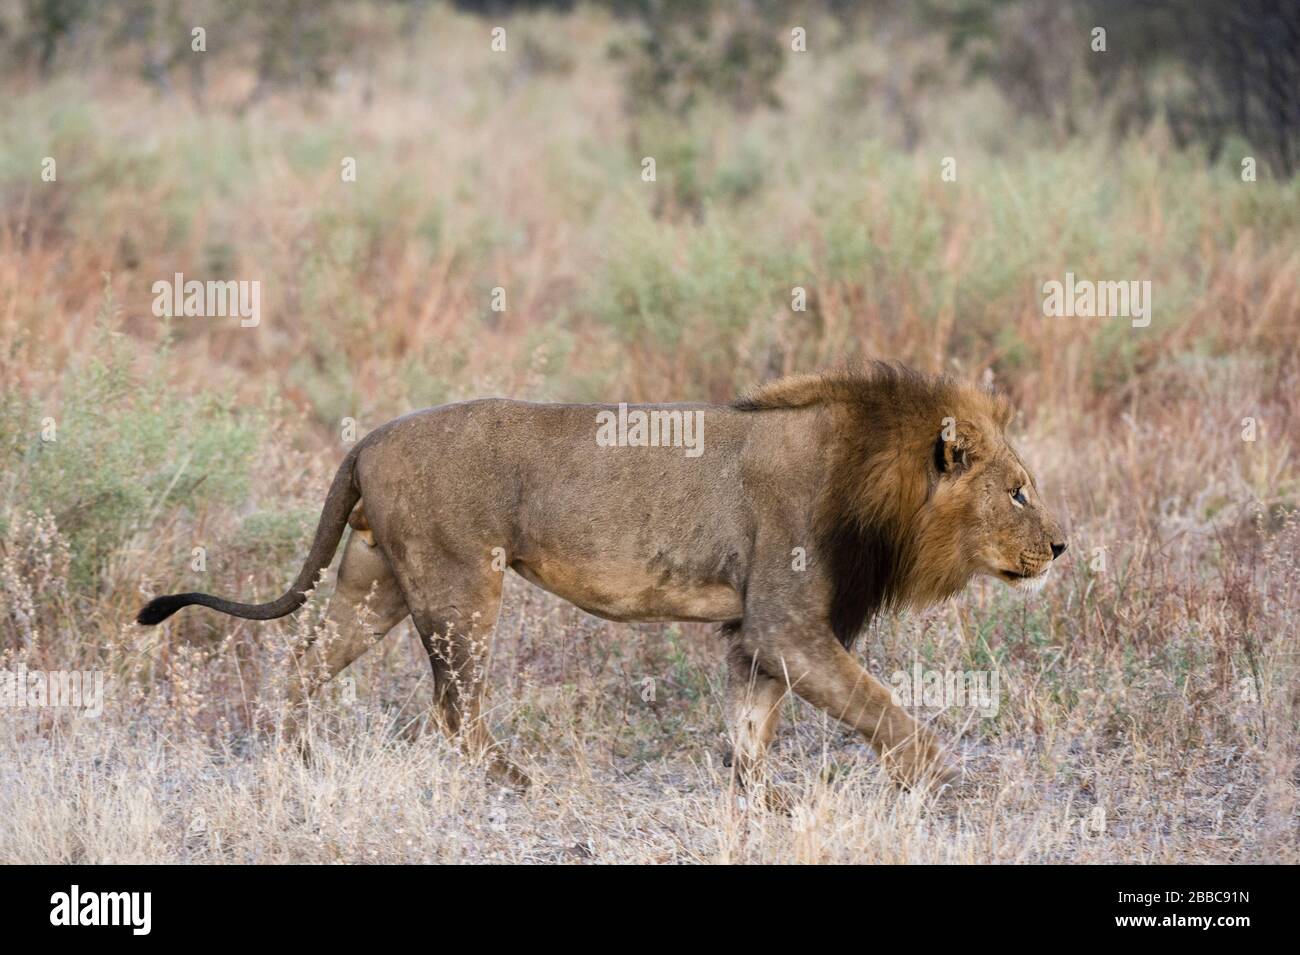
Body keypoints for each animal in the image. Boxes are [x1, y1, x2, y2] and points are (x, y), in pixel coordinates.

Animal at [134, 361, 1066, 795]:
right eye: (1018, 490)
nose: (1061, 547)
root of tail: (367, 437)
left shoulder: (757, 633)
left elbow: (749, 725)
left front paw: (759, 803)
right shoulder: (790, 623)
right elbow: (884, 709)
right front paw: (939, 782)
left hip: (375, 583)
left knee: (301, 662)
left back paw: (293, 757)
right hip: (461, 581)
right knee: (452, 704)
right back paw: (514, 780)